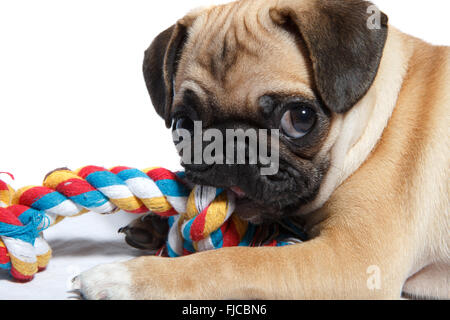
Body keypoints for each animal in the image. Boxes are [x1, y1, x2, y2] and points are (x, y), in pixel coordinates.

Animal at [72, 0, 448, 300]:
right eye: (182, 124)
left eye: (300, 118)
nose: (231, 143)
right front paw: (156, 227)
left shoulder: (353, 262)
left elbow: (232, 263)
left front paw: (127, 276)